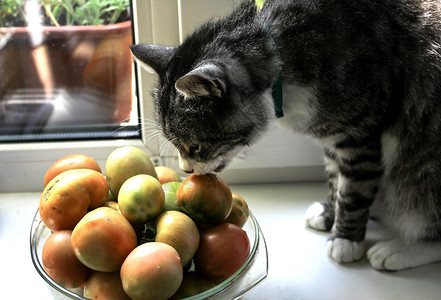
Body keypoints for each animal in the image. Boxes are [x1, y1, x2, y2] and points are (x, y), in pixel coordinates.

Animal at [130, 0, 440, 270]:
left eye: (194, 146)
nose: (185, 168)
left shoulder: (358, 135)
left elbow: (352, 189)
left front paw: (345, 239)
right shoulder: (332, 137)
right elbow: (335, 178)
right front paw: (329, 212)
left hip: (424, 165)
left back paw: (397, 250)